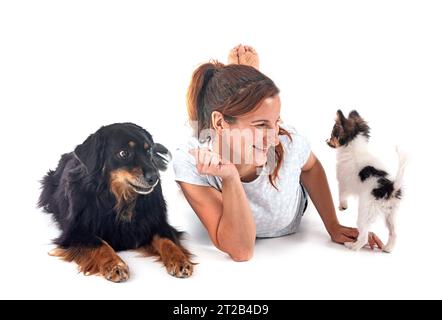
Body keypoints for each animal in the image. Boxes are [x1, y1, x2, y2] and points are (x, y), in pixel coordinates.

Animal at [39, 124, 193, 282]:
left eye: (148, 150)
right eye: (123, 153)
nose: (155, 177)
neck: (120, 198)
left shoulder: (156, 223)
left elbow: (167, 241)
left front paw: (179, 260)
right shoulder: (76, 232)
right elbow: (100, 244)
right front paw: (114, 264)